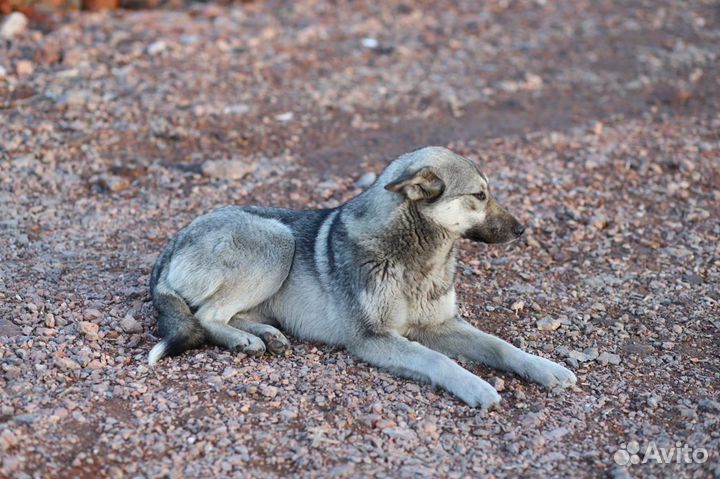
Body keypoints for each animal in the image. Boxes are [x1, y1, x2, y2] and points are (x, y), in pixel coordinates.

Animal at [149, 146, 576, 408]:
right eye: (480, 196)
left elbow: (501, 347)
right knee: (207, 316)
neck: (419, 260)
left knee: (229, 315)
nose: (522, 229)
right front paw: (477, 387)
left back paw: (265, 335)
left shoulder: (442, 324)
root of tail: (172, 243)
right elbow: (438, 360)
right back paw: (243, 340)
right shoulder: (373, 339)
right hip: (279, 241)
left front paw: (546, 369)